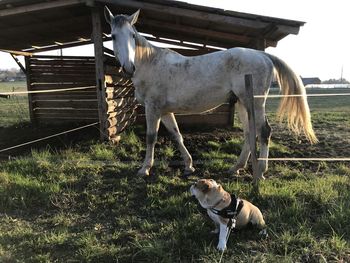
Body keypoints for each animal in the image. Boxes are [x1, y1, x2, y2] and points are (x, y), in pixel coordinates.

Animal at [104, 7, 318, 182]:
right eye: (113, 36)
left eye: (132, 35)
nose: (129, 67)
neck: (150, 64)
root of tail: (262, 55)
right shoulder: (164, 111)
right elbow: (177, 135)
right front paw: (189, 166)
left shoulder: (153, 108)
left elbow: (151, 137)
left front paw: (144, 169)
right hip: (242, 103)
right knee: (249, 133)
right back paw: (236, 168)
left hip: (255, 103)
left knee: (264, 131)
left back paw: (261, 171)